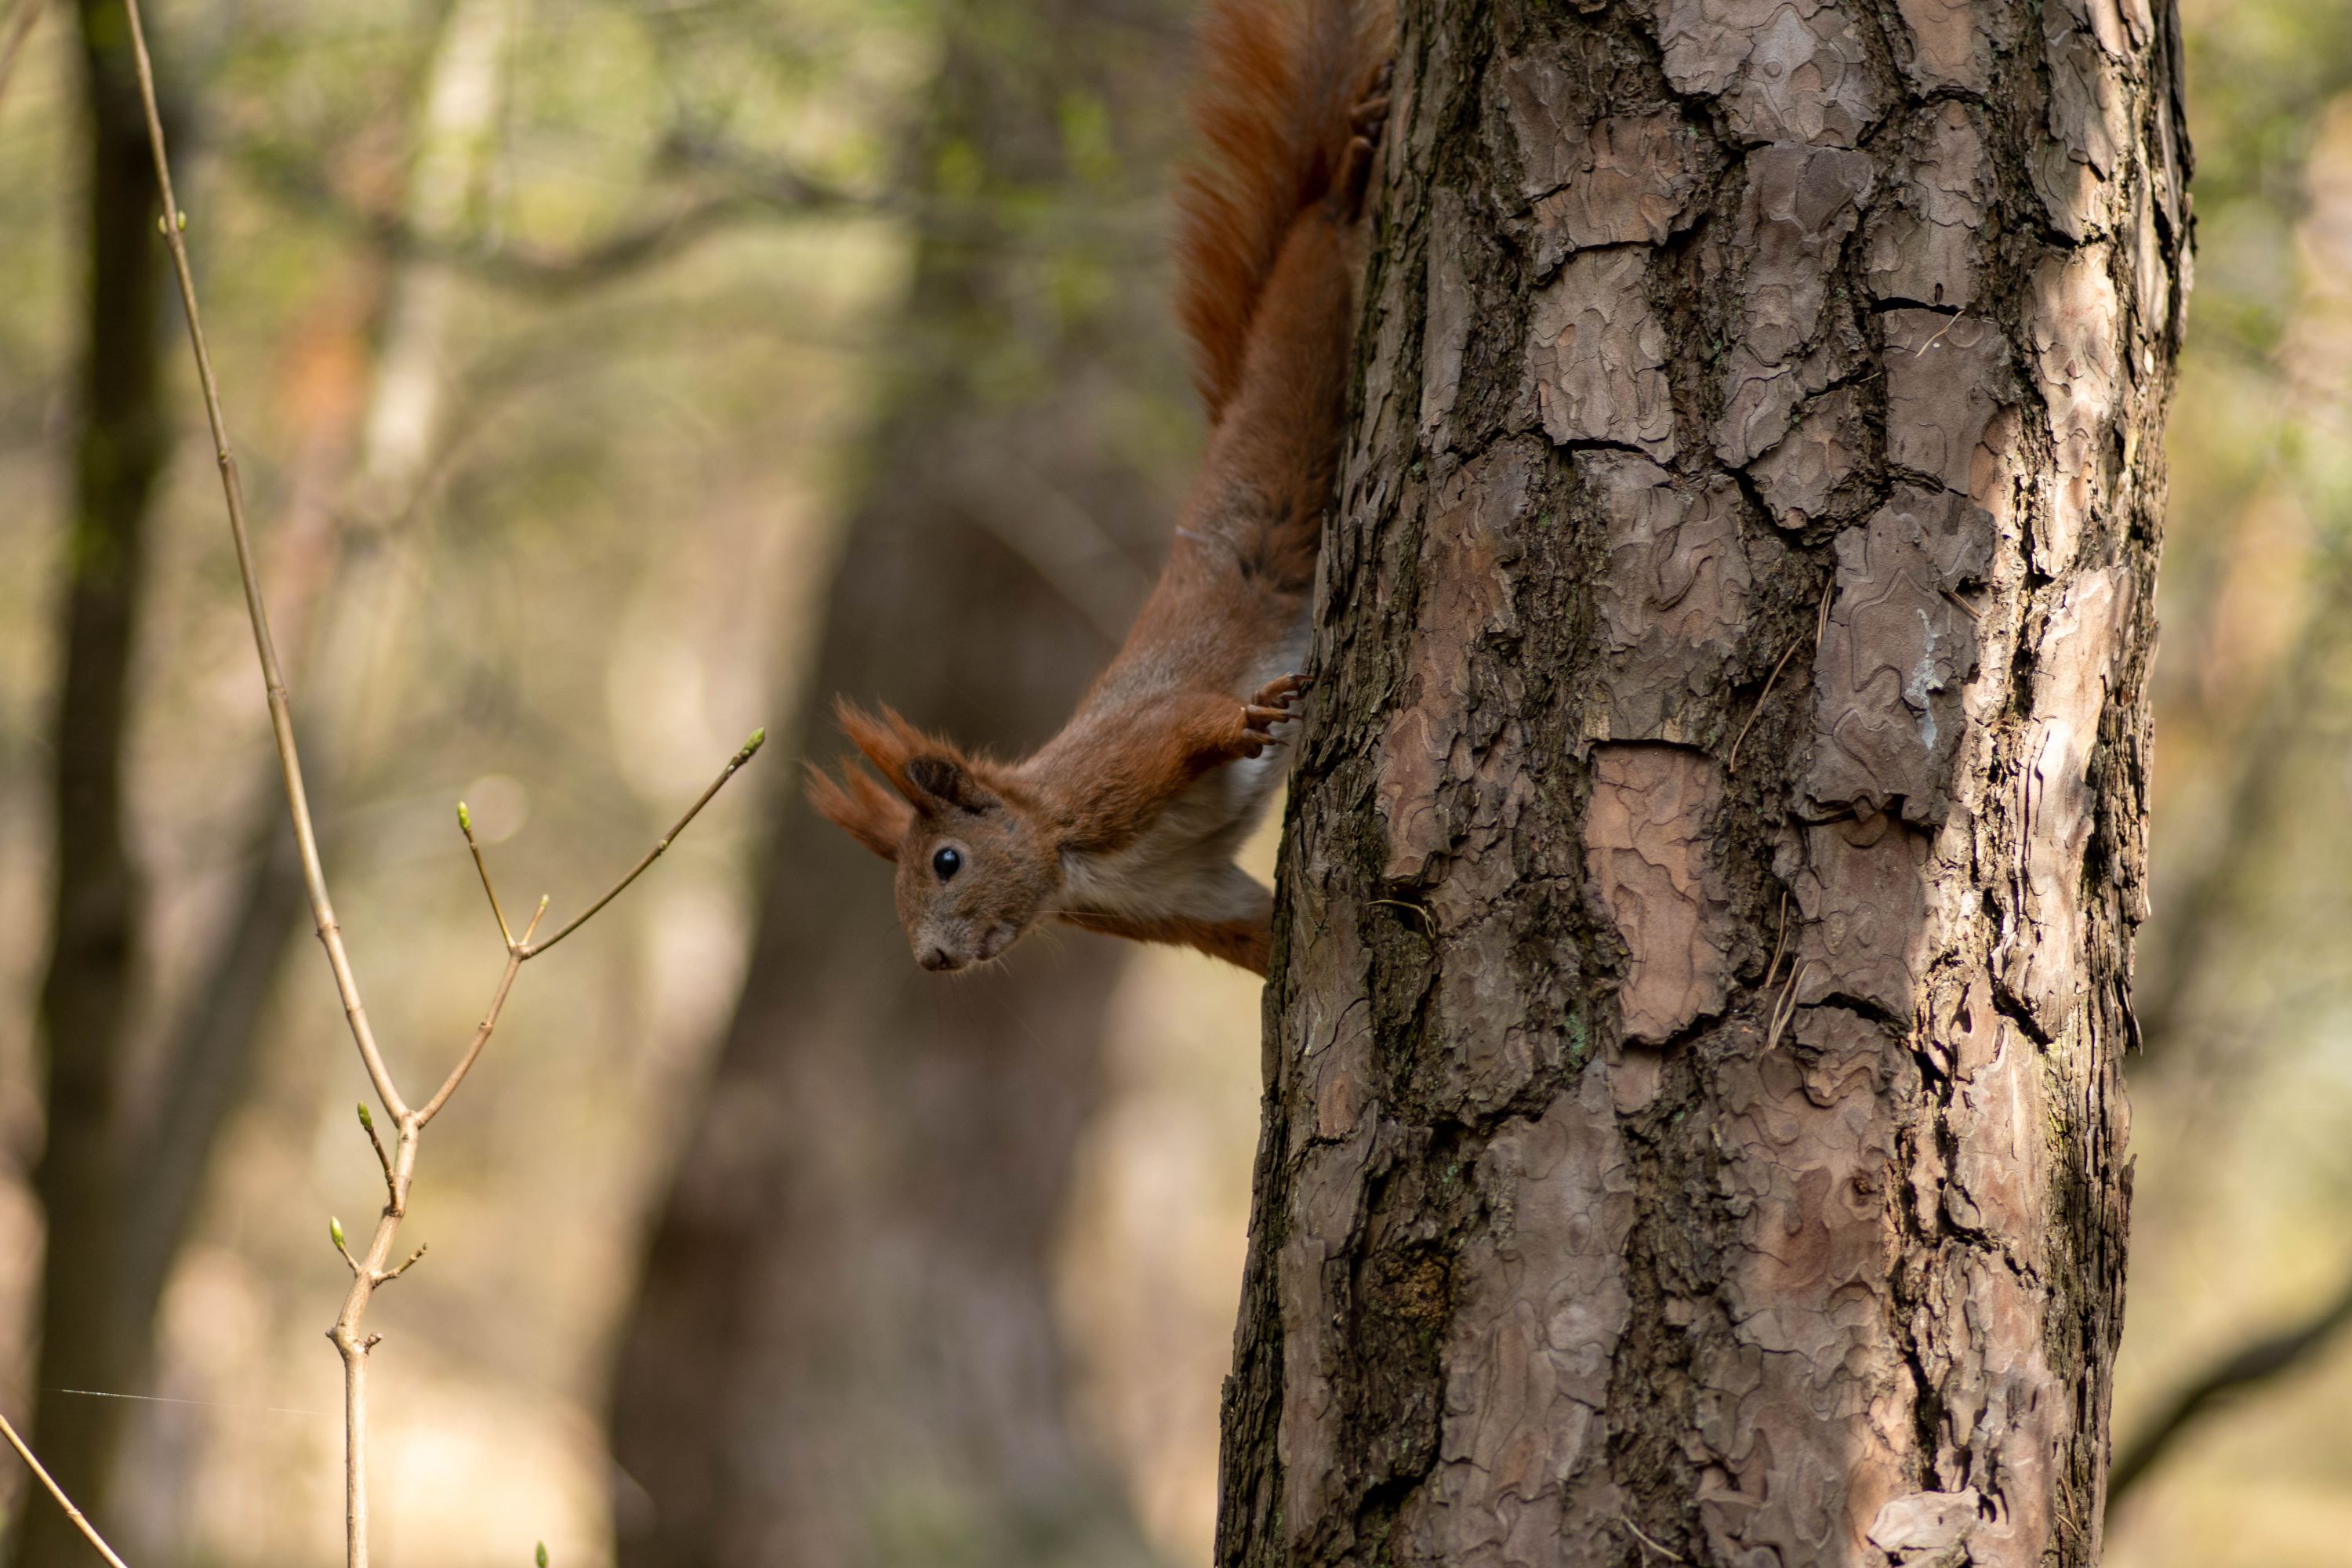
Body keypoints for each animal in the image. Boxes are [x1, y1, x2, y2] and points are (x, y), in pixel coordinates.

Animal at [814, 0, 1383, 973]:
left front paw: (1245, 723)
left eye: (948, 859)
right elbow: (1256, 933)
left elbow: (1189, 724)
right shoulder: (1182, 897)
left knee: (1320, 245)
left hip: (1300, 362)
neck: (1065, 857)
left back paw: (1346, 176)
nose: (931, 959)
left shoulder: (1119, 766)